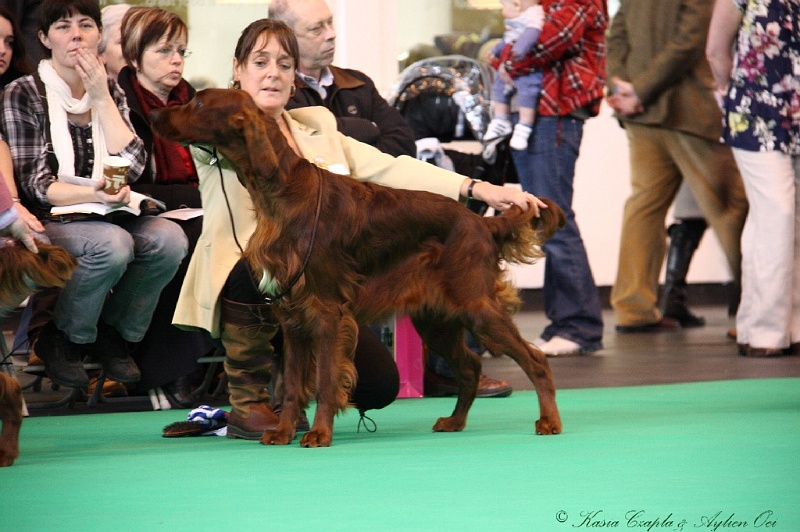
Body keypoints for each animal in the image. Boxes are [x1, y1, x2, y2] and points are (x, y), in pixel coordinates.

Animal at [150, 89, 564, 446]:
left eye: (199, 103)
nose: (155, 114)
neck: (281, 193)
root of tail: (481, 222)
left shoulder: (326, 311)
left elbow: (325, 379)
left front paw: (318, 434)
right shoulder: (291, 316)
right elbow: (294, 383)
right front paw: (283, 432)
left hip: (475, 306)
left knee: (534, 360)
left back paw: (549, 421)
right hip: (436, 318)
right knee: (471, 366)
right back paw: (455, 421)